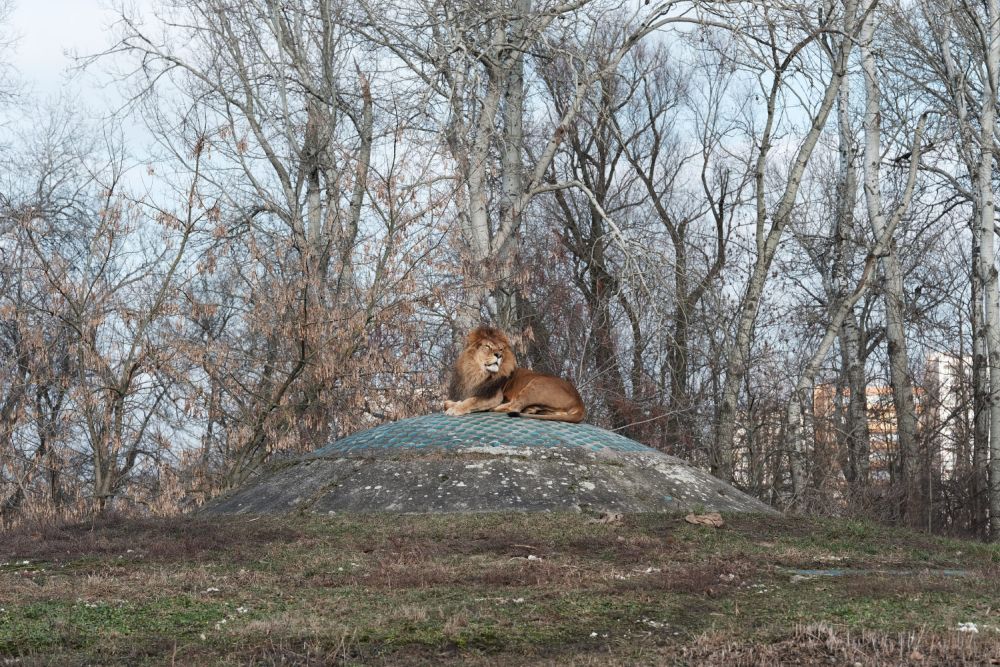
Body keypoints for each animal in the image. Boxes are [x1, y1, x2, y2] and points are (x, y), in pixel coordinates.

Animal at [444, 328, 584, 422]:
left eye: (501, 349)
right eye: (487, 346)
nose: (499, 355)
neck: (476, 372)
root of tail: (580, 402)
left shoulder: (494, 395)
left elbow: (471, 400)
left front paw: (455, 408)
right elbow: (454, 401)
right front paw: (452, 403)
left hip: (537, 384)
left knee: (514, 407)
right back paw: (532, 410)